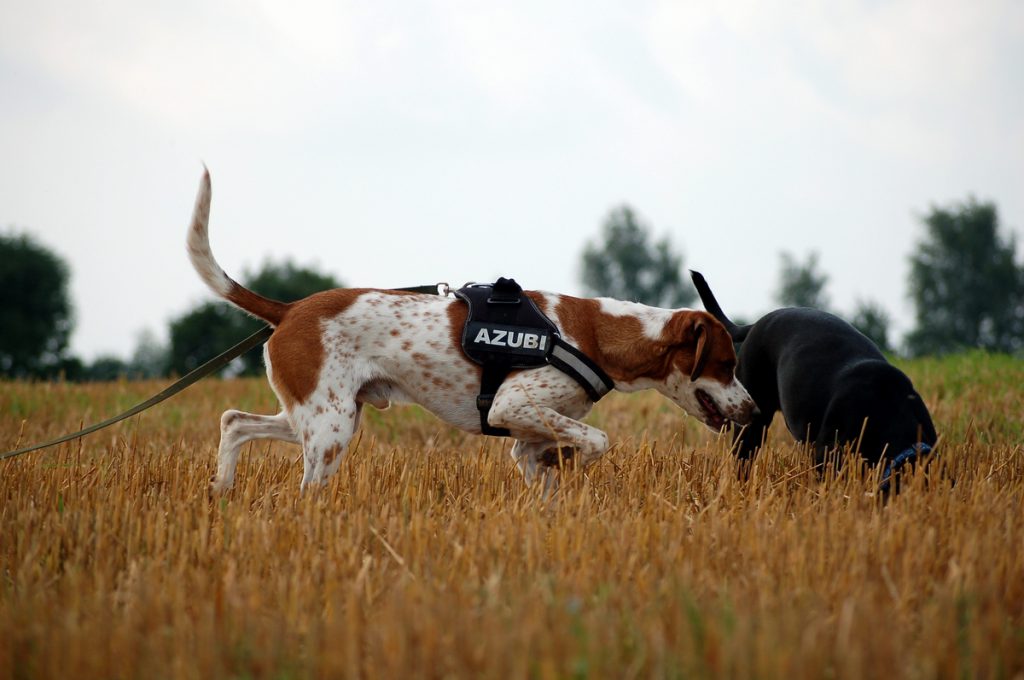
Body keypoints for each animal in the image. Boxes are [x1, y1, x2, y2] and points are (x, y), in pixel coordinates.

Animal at [188, 168, 757, 489]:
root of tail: (289, 309)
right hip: (329, 428)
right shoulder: (512, 406)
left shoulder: (527, 439)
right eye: (727, 363)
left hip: (319, 415)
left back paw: (221, 491)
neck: (594, 334)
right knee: (299, 483)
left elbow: (550, 471)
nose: (754, 410)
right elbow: (596, 440)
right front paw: (579, 463)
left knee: (233, 421)